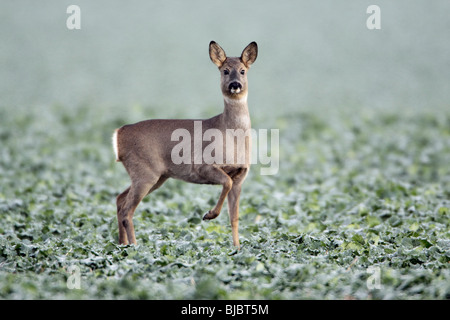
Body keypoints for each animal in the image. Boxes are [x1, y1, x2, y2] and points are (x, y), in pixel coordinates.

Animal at [111, 41, 256, 249]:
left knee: (120, 199)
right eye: (225, 71)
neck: (231, 136)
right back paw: (135, 247)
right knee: (126, 210)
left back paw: (122, 245)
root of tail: (119, 133)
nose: (235, 85)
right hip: (145, 172)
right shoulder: (203, 165)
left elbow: (234, 217)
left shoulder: (240, 176)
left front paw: (237, 248)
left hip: (156, 176)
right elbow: (226, 183)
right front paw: (209, 215)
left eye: (243, 71)